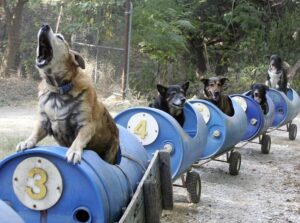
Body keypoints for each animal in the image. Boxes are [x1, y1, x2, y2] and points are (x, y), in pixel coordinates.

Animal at [16, 24, 119, 165]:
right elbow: (35, 132)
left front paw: (74, 151)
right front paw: (27, 141)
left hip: (110, 152)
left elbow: (78, 140)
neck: (58, 90)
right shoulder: (44, 122)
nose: (45, 26)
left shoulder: (86, 125)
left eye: (60, 37)